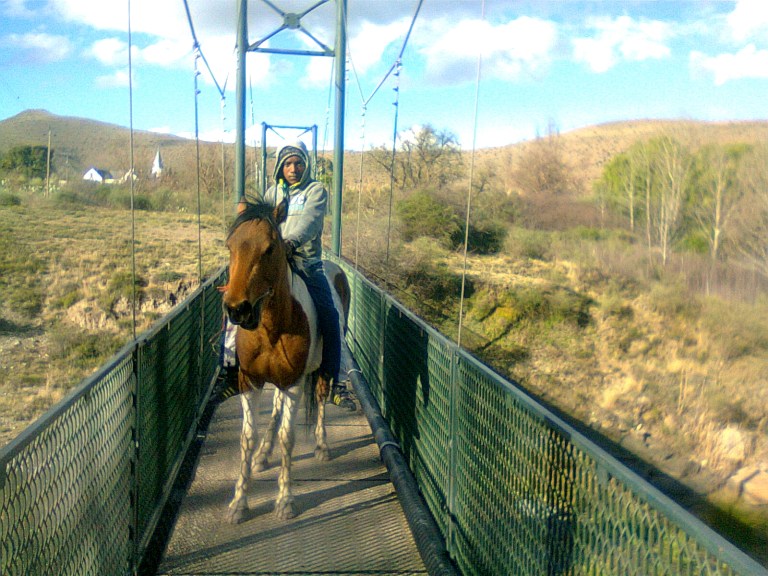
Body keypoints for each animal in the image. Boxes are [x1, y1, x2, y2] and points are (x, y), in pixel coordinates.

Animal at [220, 200, 349, 523]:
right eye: (230, 246)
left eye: (269, 249)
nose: (237, 309)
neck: (270, 326)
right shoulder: (250, 382)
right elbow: (247, 437)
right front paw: (239, 502)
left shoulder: (293, 382)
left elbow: (287, 438)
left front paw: (285, 500)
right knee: (277, 406)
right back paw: (264, 454)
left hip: (319, 369)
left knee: (320, 398)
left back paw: (321, 445)